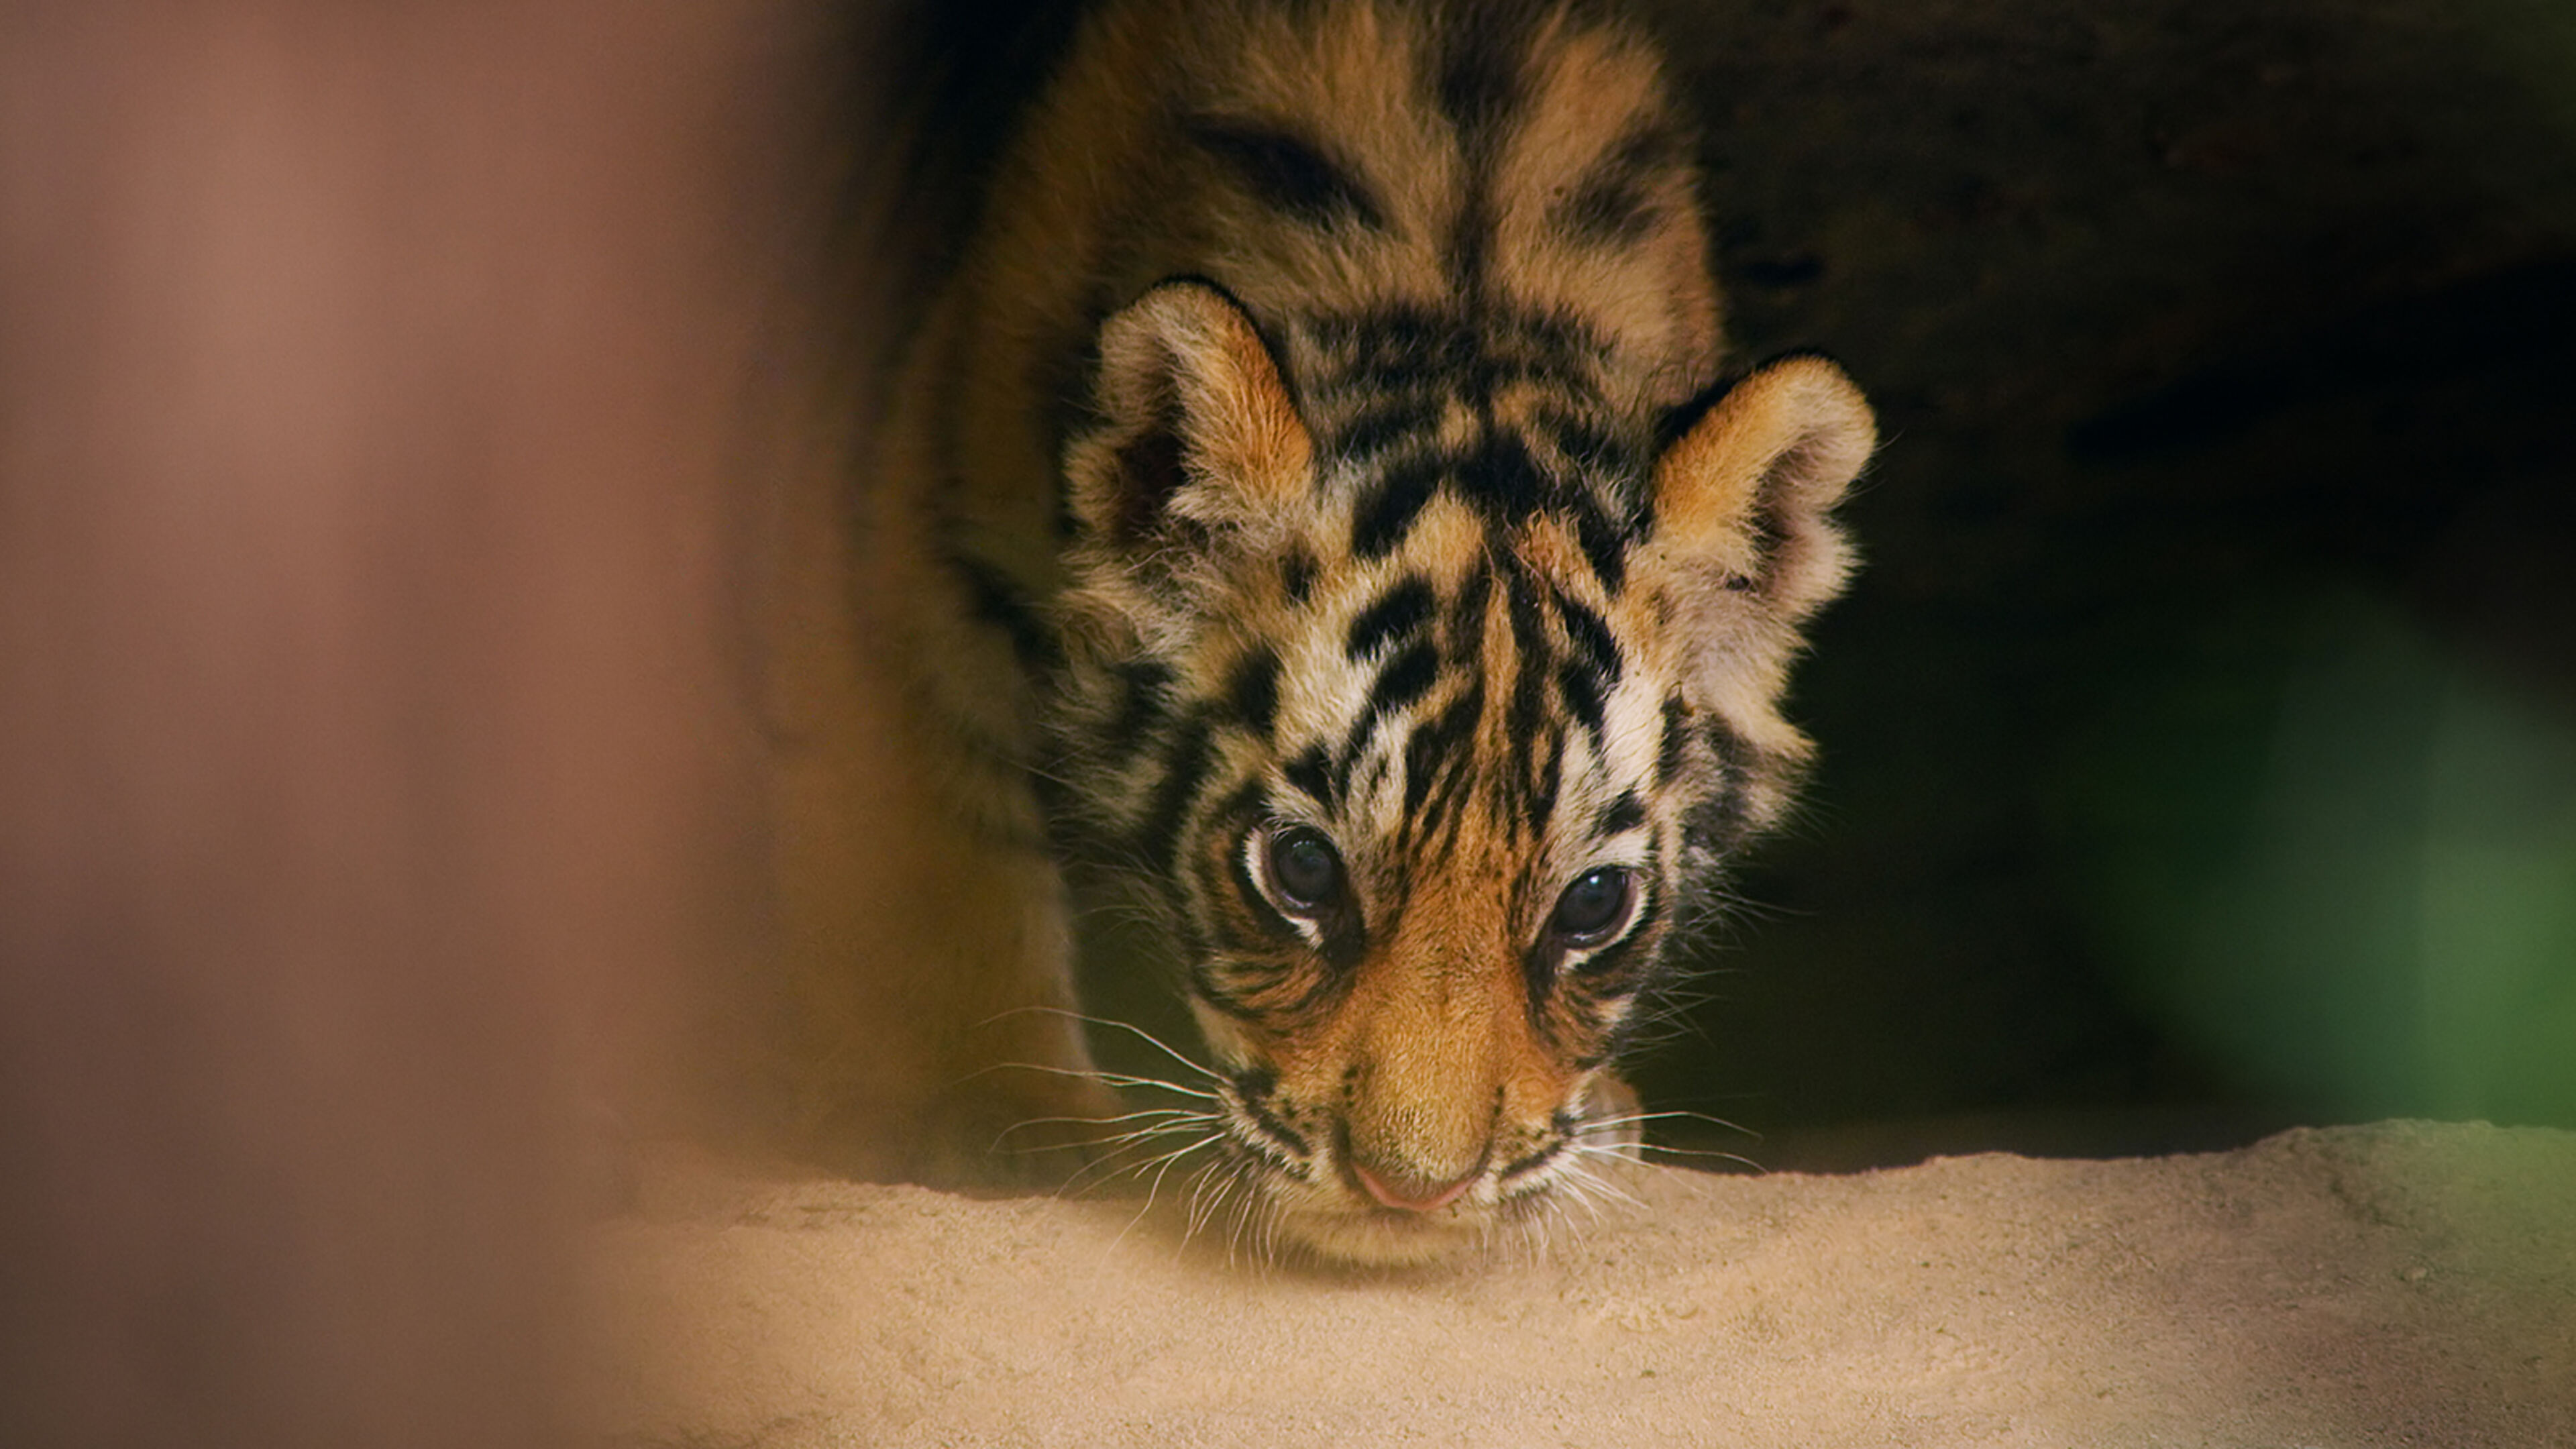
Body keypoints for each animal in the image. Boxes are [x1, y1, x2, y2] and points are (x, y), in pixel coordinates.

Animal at [763, 0, 1875, 1264]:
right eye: (1300, 871)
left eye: (1594, 904)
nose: (1413, 1194)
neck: (1459, 285)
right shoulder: (915, 529)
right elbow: (938, 833)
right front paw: (994, 1119)